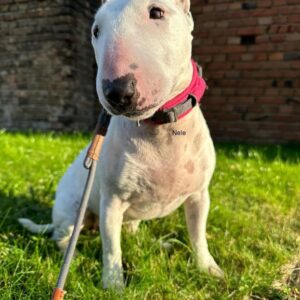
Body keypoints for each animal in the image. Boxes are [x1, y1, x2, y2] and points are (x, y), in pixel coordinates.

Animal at [18, 0, 223, 288]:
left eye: (157, 12)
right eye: (95, 30)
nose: (116, 91)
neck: (160, 128)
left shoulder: (199, 196)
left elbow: (198, 234)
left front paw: (208, 268)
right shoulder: (111, 202)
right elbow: (112, 248)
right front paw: (113, 285)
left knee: (129, 231)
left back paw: (157, 244)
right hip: (72, 213)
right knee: (62, 236)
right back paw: (72, 254)